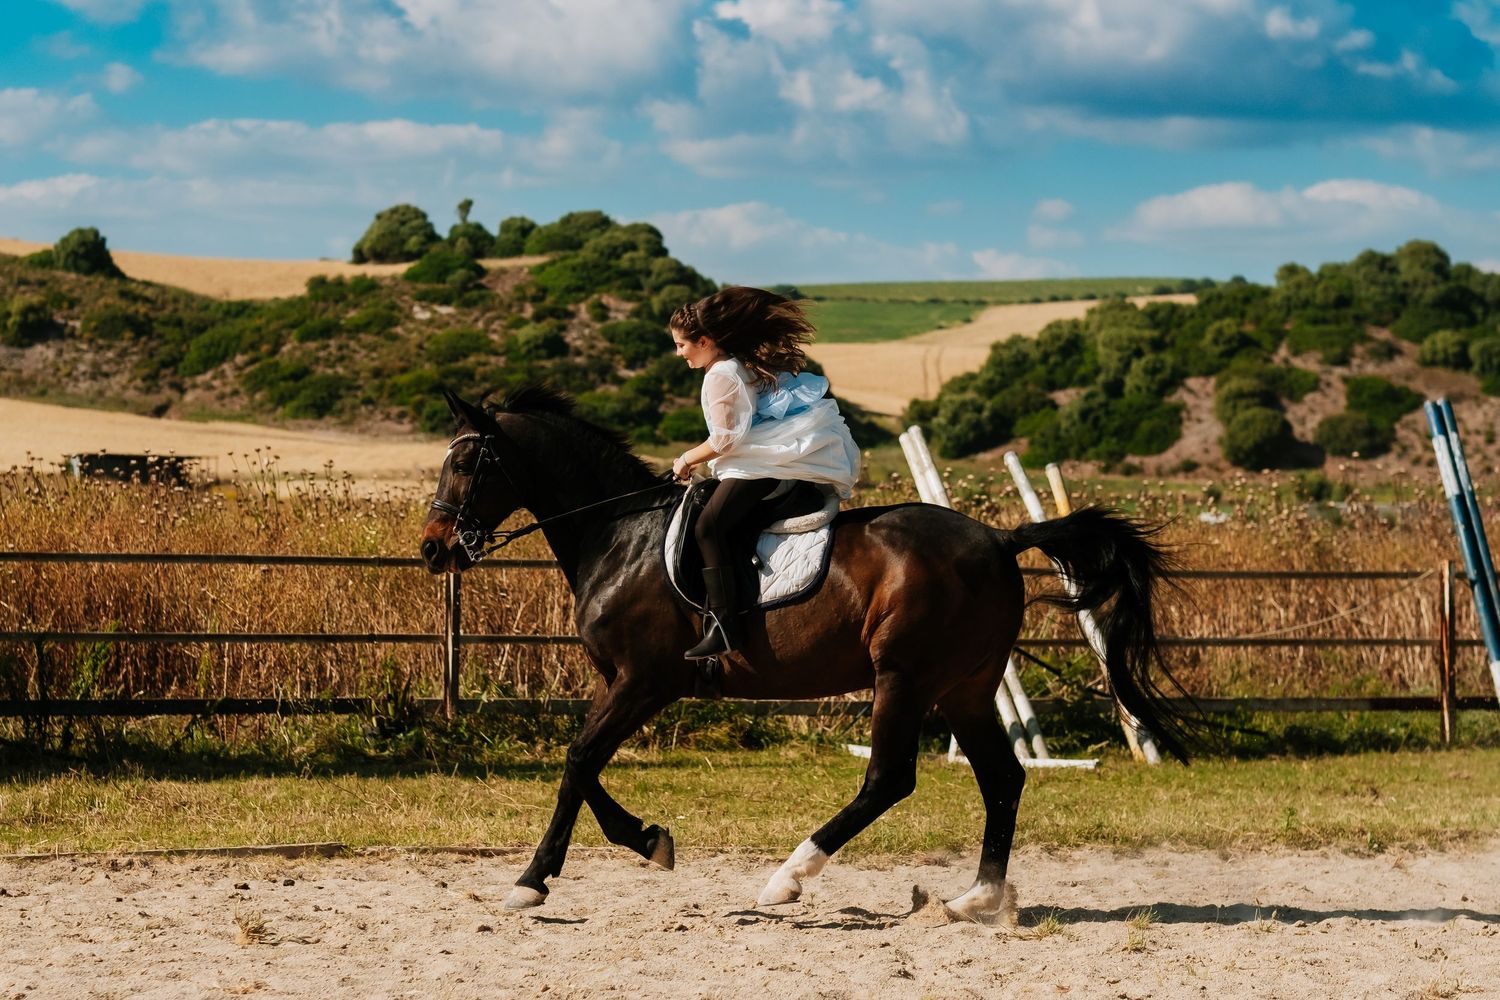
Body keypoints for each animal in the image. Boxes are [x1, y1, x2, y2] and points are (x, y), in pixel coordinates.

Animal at [419, 385, 1190, 925]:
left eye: (468, 461)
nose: (432, 550)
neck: (619, 535)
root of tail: (1001, 538)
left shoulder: (644, 682)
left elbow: (579, 762)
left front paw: (532, 883)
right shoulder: (621, 683)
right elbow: (583, 766)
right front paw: (649, 839)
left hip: (904, 677)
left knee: (889, 778)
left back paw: (787, 878)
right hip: (964, 688)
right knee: (1001, 777)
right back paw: (975, 899)